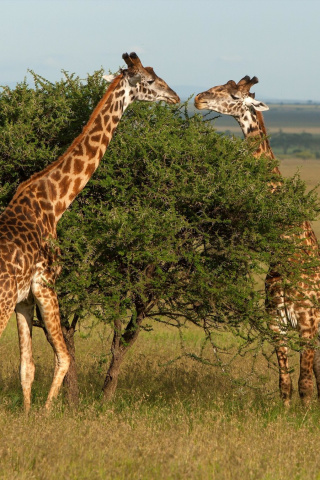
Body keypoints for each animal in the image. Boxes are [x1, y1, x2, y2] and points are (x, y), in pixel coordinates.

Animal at [0, 53, 179, 412]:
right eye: (150, 81)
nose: (176, 97)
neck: (54, 203)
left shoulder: (23, 298)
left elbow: (27, 366)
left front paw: (27, 415)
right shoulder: (45, 283)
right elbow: (64, 358)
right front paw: (45, 414)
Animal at [194, 77, 320, 406]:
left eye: (234, 95)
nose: (199, 98)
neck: (288, 248)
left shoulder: (306, 323)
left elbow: (305, 385)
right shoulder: (276, 322)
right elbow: (285, 383)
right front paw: (286, 411)